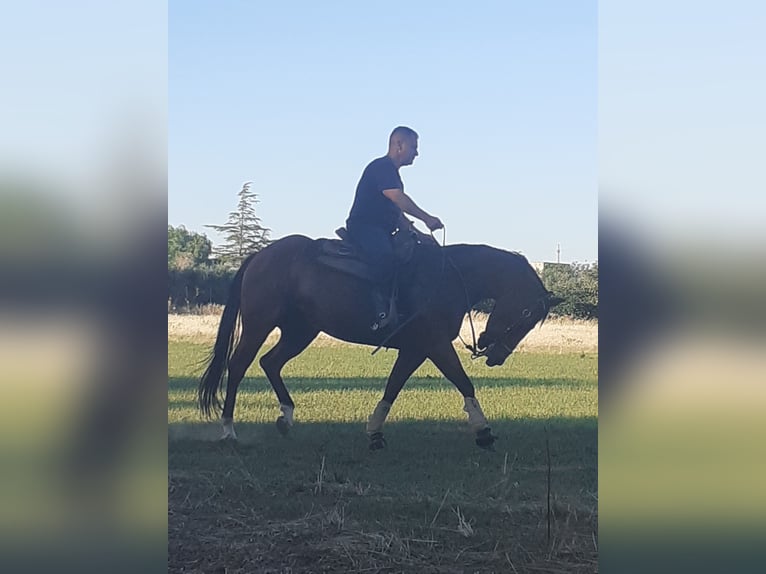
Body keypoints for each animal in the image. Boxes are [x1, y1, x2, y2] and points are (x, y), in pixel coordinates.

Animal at [198, 234, 560, 450]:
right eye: (526, 313)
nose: (496, 356)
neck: (447, 278)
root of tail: (260, 256)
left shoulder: (416, 350)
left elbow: (392, 388)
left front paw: (374, 431)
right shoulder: (435, 345)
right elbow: (463, 382)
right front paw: (483, 431)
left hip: (300, 332)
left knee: (270, 362)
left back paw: (286, 417)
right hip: (259, 325)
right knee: (238, 365)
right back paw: (228, 428)